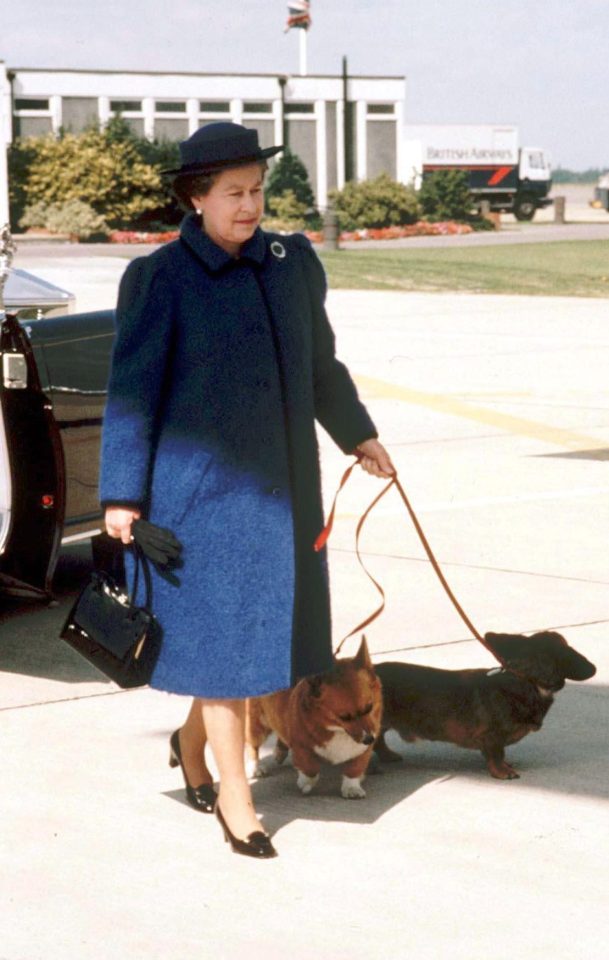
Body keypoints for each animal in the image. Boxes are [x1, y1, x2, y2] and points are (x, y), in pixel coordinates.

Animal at [246, 636, 380, 796]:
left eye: (369, 708)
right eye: (344, 717)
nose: (369, 739)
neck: (338, 730)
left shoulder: (362, 751)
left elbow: (354, 769)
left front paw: (352, 788)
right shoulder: (301, 747)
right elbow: (310, 769)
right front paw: (306, 783)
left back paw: (280, 752)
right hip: (258, 726)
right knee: (253, 745)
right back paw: (256, 768)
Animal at [372, 632, 596, 780]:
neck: (527, 679)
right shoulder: (493, 736)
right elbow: (496, 755)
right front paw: (503, 771)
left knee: (379, 740)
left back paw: (388, 756)